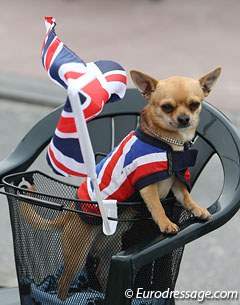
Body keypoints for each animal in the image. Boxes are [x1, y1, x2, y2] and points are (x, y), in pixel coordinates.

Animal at [22, 66, 221, 300]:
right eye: (167, 107)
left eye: (194, 104)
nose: (184, 118)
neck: (167, 144)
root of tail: (69, 212)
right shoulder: (146, 184)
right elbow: (157, 206)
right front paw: (165, 223)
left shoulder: (177, 183)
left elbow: (187, 198)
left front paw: (198, 210)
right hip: (77, 253)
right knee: (63, 284)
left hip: (111, 248)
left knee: (101, 270)